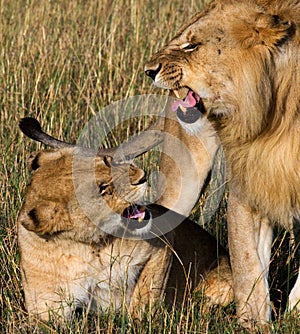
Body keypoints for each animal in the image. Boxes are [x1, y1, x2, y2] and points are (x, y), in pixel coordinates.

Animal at [18, 118, 233, 322]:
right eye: (103, 189)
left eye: (107, 161)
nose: (143, 176)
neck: (88, 248)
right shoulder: (44, 308)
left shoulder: (161, 244)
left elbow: (146, 292)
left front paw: (139, 322)